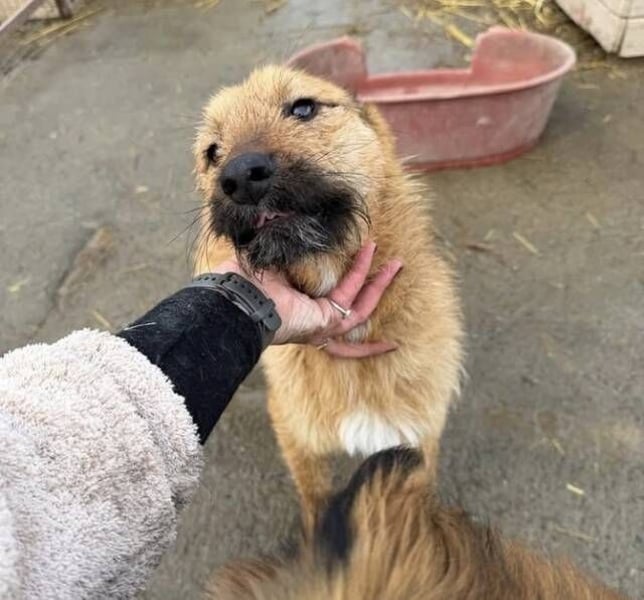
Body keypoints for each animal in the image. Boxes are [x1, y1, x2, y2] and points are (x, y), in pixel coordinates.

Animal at [194, 65, 463, 523]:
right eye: (212, 152)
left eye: (303, 107)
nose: (240, 177)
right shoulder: (297, 436)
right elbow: (316, 500)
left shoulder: (416, 442)